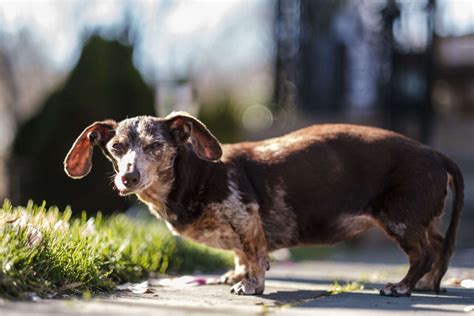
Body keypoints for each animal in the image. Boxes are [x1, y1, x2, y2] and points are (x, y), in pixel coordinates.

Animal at [63, 111, 462, 296]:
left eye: (155, 146)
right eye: (116, 148)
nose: (127, 178)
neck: (199, 174)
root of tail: (435, 154)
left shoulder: (246, 217)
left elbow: (254, 252)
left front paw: (251, 285)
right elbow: (240, 254)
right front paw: (237, 275)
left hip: (400, 219)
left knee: (424, 254)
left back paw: (403, 286)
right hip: (420, 220)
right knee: (440, 246)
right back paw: (429, 282)